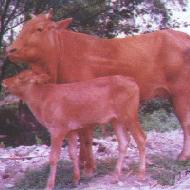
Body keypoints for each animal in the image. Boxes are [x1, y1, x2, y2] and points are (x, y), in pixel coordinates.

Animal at [2, 70, 145, 190]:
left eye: (21, 77)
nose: (4, 81)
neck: (43, 101)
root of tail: (132, 80)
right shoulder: (71, 129)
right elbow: (72, 153)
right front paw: (76, 179)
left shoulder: (57, 129)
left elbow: (53, 157)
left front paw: (49, 185)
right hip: (116, 119)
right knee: (124, 141)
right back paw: (115, 177)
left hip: (129, 114)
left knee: (141, 138)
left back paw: (140, 174)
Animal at [5, 12, 190, 172]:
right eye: (23, 27)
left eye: (39, 28)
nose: (10, 50)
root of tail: (182, 36)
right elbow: (80, 134)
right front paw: (81, 163)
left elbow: (86, 136)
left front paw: (89, 167)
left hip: (181, 92)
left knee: (185, 122)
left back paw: (183, 156)